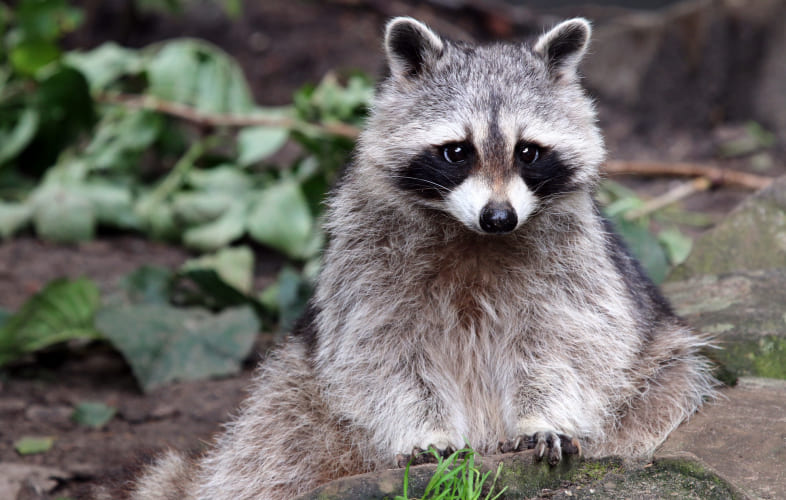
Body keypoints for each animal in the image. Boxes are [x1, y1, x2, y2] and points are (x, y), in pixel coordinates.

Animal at [129, 17, 716, 500]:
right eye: (457, 151)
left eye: (528, 151)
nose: (499, 218)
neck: (473, 236)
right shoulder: (365, 260)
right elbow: (381, 355)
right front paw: (426, 431)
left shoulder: (577, 262)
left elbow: (570, 342)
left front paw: (544, 417)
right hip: (295, 387)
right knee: (275, 442)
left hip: (662, 363)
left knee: (664, 388)